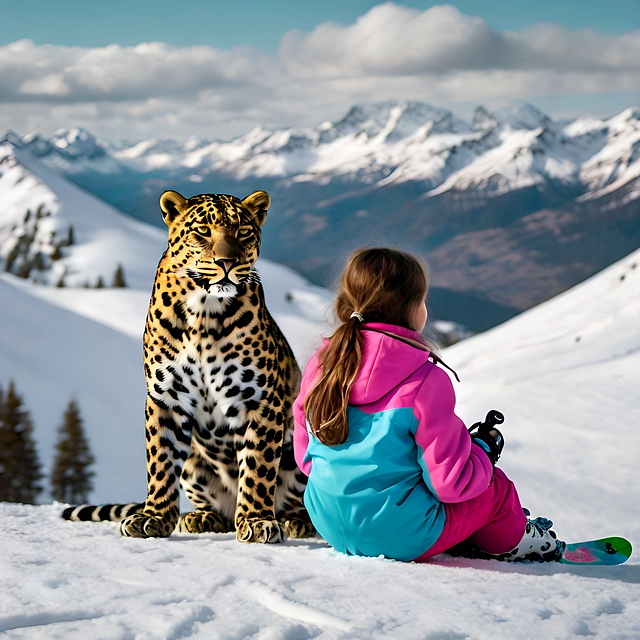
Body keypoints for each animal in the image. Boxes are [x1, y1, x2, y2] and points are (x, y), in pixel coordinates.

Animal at [62, 189, 314, 544]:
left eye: (243, 231)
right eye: (203, 231)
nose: (227, 262)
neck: (205, 314)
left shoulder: (260, 400)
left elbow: (258, 467)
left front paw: (256, 521)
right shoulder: (165, 399)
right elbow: (161, 463)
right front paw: (153, 517)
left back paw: (295, 521)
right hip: (196, 463)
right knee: (214, 508)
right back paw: (201, 518)